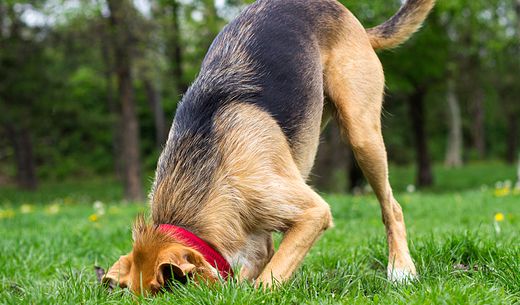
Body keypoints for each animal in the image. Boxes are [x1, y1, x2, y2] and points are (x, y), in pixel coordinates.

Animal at [101, 0, 434, 294]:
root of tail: (356, 24)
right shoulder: (258, 237)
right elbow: (260, 262)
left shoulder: (312, 212)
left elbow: (268, 279)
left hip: (362, 134)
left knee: (392, 207)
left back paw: (401, 268)